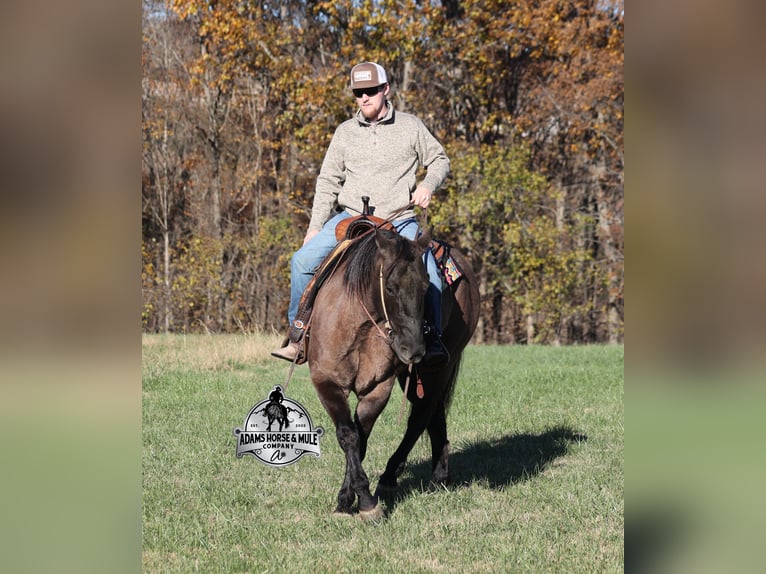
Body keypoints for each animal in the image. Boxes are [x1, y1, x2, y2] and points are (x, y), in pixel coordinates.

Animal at [306, 227, 480, 520]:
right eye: (389, 288)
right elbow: (350, 435)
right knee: (433, 414)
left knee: (420, 418)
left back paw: (390, 477)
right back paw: (439, 477)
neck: (360, 323)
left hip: (439, 367)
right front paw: (348, 501)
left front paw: (363, 501)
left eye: (427, 288)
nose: (414, 349)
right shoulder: (326, 381)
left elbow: (359, 439)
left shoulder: (378, 388)